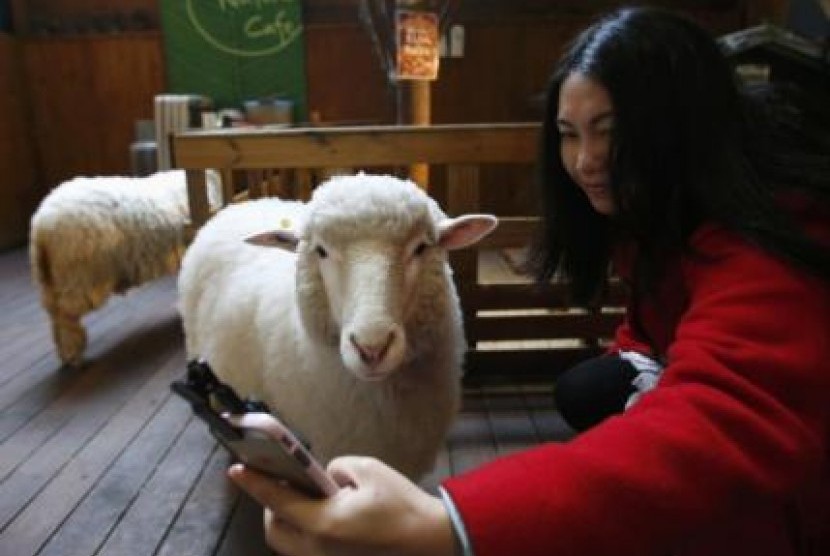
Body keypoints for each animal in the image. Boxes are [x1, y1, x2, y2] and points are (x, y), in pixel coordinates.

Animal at [30, 169, 221, 370]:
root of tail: (41, 226)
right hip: (78, 279)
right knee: (65, 318)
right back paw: (72, 354)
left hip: (52, 281)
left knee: (55, 316)